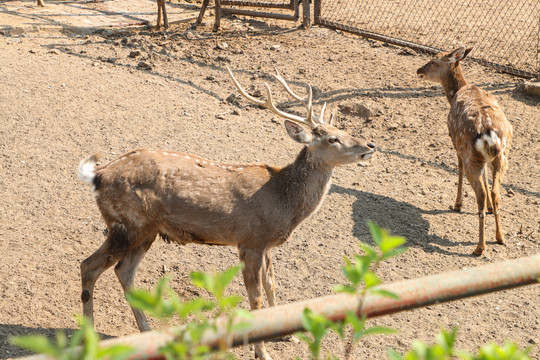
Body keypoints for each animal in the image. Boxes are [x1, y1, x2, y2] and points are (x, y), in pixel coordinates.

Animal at [78, 67, 376, 360]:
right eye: (333, 139)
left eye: (342, 128)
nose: (370, 146)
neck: (285, 204)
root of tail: (97, 175)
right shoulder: (251, 240)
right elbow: (255, 297)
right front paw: (262, 352)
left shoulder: (266, 244)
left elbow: (272, 284)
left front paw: (285, 333)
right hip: (127, 224)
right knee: (89, 266)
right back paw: (89, 339)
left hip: (147, 231)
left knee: (124, 271)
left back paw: (149, 334)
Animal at [416, 46, 512, 256]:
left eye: (433, 61)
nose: (419, 70)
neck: (456, 93)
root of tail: (489, 134)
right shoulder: (486, 160)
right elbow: (486, 178)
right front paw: (490, 209)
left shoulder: (455, 141)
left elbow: (458, 169)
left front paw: (457, 204)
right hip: (502, 156)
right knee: (495, 192)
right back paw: (500, 237)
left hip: (471, 155)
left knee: (481, 193)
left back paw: (479, 247)